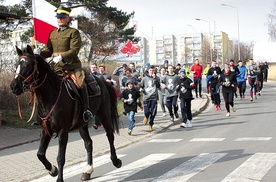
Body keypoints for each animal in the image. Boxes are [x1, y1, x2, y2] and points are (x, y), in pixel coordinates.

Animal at [9, 44, 122, 181]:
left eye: (28, 65)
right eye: (17, 64)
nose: (14, 87)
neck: (50, 97)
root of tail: (102, 81)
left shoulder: (62, 132)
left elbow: (60, 158)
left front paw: (59, 177)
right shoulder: (46, 129)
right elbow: (40, 154)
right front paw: (52, 170)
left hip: (104, 114)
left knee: (110, 135)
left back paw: (115, 161)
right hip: (82, 124)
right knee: (88, 143)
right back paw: (87, 170)